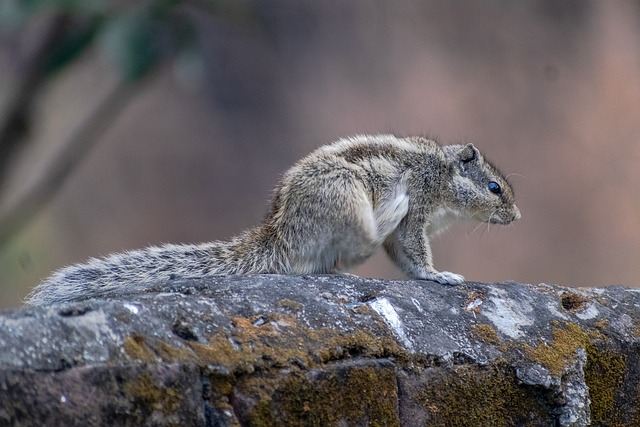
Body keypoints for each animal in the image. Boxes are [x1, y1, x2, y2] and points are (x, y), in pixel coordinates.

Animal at [25, 133, 524, 304]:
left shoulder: (408, 230)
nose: (517, 215)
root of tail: (280, 234)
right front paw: (440, 276)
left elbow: (403, 259)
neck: (439, 172)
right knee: (352, 249)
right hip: (347, 199)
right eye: (494, 188)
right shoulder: (417, 211)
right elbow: (415, 254)